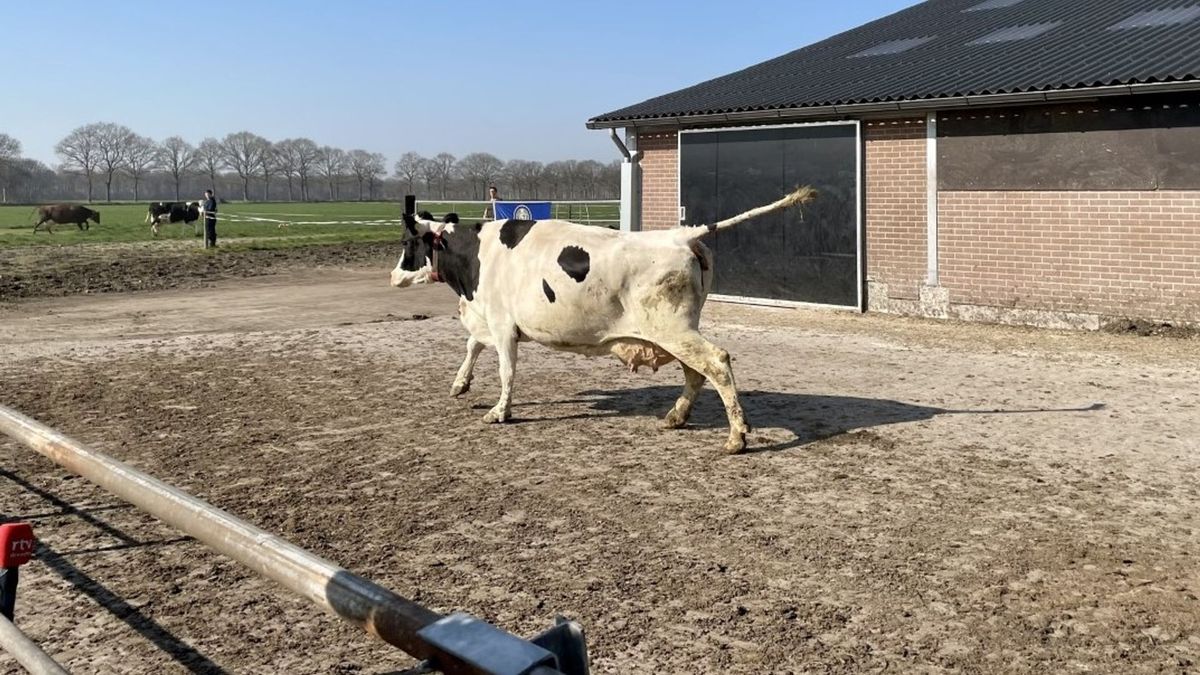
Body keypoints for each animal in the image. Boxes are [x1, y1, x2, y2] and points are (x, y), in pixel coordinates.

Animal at [389, 186, 815, 454]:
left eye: (408, 244)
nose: (392, 277)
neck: (479, 255)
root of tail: (679, 235)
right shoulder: (489, 318)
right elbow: (472, 344)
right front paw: (460, 384)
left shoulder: (502, 323)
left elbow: (505, 370)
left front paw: (499, 411)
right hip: (675, 330)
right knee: (697, 371)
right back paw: (676, 416)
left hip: (673, 328)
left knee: (717, 362)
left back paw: (736, 437)